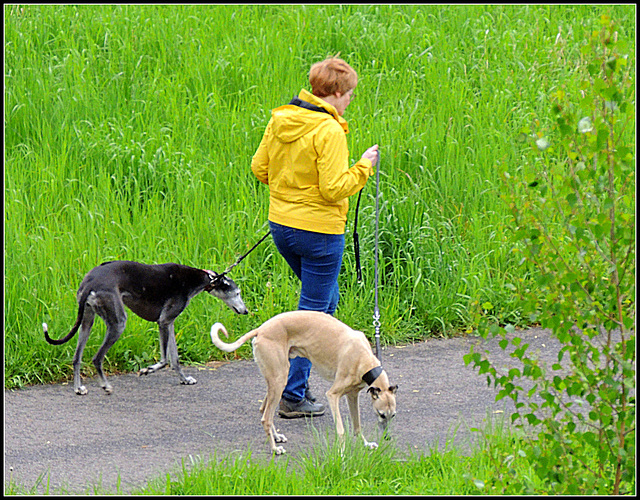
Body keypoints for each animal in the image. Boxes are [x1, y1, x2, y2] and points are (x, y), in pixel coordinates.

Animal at [43, 262, 248, 394]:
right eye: (238, 293)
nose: (246, 311)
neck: (201, 278)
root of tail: (90, 282)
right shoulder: (163, 321)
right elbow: (164, 360)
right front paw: (147, 370)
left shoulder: (169, 323)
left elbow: (175, 359)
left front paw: (184, 379)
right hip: (117, 323)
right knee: (97, 358)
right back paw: (106, 386)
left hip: (87, 319)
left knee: (77, 357)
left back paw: (78, 388)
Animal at [209, 312, 396, 458]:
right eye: (381, 414)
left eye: (393, 415)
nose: (387, 437)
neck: (363, 358)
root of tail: (261, 329)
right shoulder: (333, 395)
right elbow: (341, 429)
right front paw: (341, 453)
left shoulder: (352, 394)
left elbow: (357, 425)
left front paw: (365, 444)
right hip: (279, 379)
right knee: (265, 418)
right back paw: (275, 449)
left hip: (277, 378)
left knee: (264, 409)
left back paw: (276, 437)